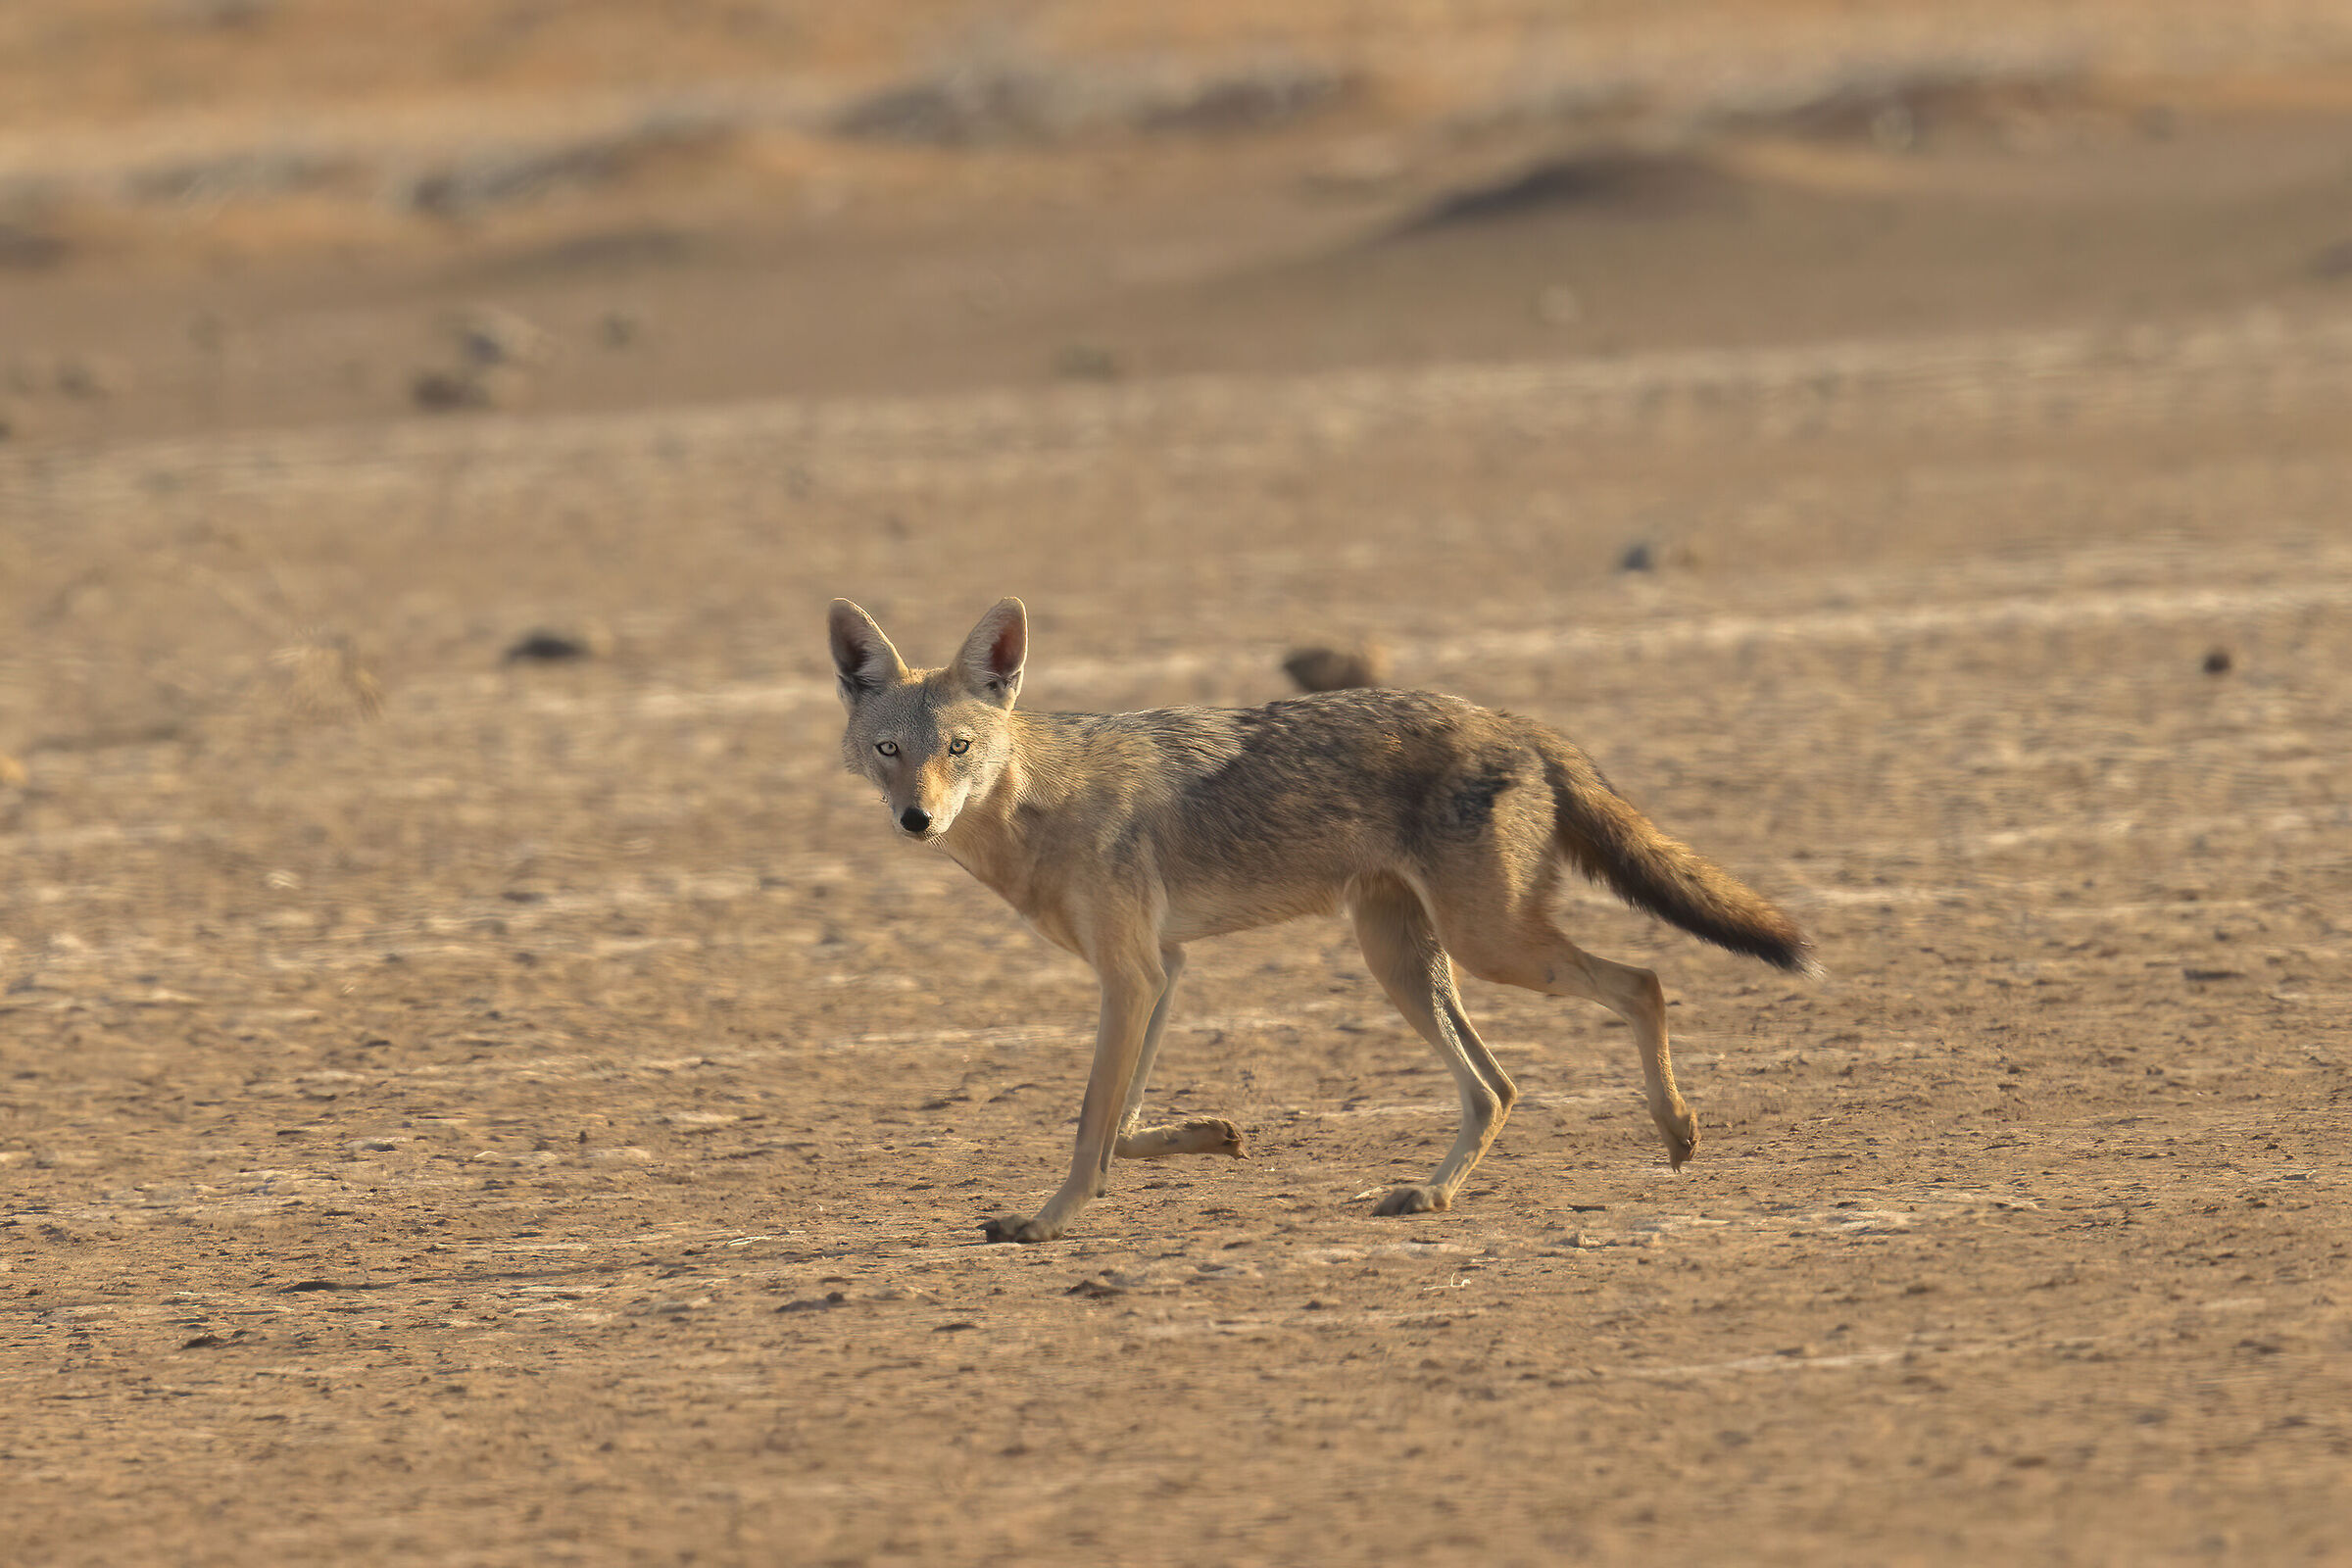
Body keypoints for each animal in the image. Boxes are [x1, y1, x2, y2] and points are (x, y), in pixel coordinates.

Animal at [830, 596, 1814, 1243]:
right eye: (889, 750)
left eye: (959, 749)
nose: (916, 820)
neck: (1041, 803)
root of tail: (1511, 717)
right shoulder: (1162, 970)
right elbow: (1123, 1120)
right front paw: (1208, 1137)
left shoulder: (1133, 973)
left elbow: (1089, 1121)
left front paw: (1048, 1220)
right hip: (1405, 957)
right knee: (1497, 1086)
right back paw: (1433, 1197)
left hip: (1486, 947)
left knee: (1642, 983)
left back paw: (1676, 1131)